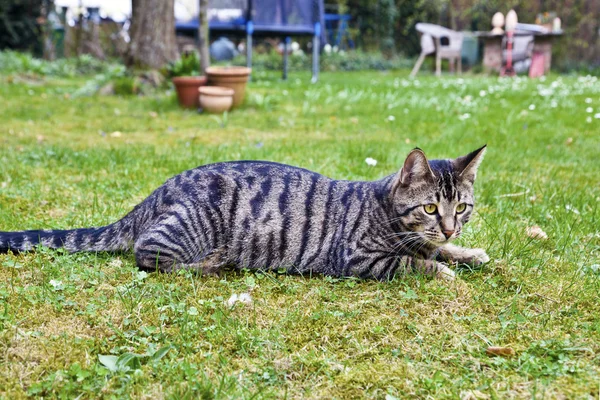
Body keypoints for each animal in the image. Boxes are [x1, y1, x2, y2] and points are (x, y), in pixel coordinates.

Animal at [0, 147, 488, 282]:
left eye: (461, 208)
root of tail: (160, 189)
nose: (449, 228)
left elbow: (437, 252)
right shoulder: (355, 258)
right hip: (194, 224)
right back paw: (211, 264)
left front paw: (467, 253)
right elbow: (412, 262)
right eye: (430, 207)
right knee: (147, 254)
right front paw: (445, 271)